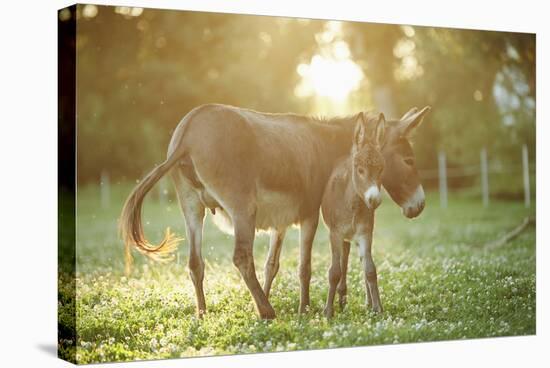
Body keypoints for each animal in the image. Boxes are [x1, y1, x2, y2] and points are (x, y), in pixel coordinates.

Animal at [322, 113, 386, 320]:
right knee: (343, 261)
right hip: (343, 237)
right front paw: (328, 312)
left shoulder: (365, 233)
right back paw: (341, 299)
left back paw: (366, 302)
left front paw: (377, 308)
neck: (352, 204)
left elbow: (370, 270)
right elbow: (334, 271)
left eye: (381, 169)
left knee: (360, 261)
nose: (374, 200)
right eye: (359, 169)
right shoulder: (334, 234)